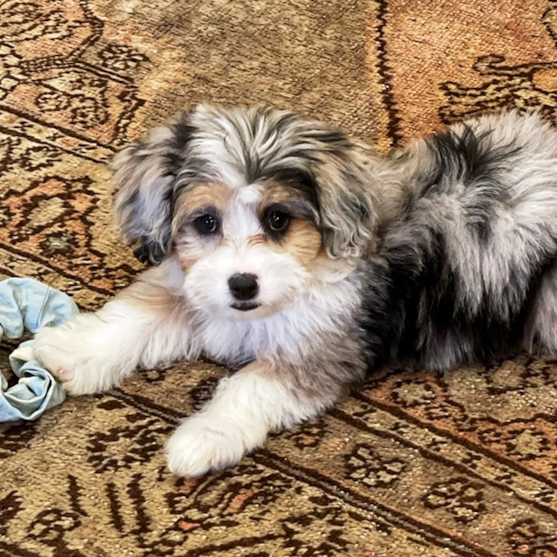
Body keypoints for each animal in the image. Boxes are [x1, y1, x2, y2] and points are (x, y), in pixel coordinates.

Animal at [32, 106, 556, 476]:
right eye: (206, 222)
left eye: (278, 218)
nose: (243, 284)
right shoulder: (193, 290)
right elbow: (136, 316)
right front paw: (72, 351)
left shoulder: (319, 349)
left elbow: (248, 386)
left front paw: (203, 437)